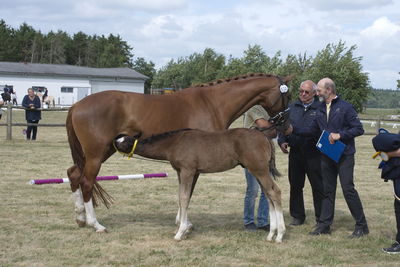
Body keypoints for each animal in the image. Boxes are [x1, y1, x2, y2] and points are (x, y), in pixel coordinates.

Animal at [114, 127, 286, 243]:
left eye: (126, 142)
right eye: (120, 141)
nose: (113, 144)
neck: (175, 143)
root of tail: (265, 137)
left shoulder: (188, 171)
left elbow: (184, 198)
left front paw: (180, 232)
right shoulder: (181, 172)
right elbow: (181, 197)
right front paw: (183, 228)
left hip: (259, 169)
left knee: (275, 192)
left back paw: (279, 235)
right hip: (258, 171)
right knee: (268, 194)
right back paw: (271, 234)